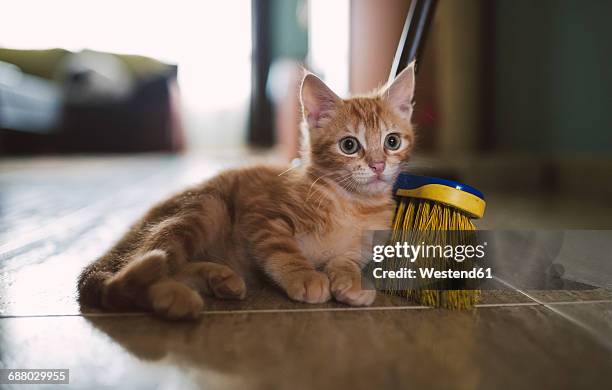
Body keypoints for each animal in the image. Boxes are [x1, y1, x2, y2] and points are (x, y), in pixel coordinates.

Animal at [77, 63, 416, 320]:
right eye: (349, 145)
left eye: (392, 141)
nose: (377, 165)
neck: (353, 204)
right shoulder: (261, 214)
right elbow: (282, 248)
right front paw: (303, 275)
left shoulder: (359, 247)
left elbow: (345, 262)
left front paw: (350, 281)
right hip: (206, 207)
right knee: (131, 275)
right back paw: (174, 298)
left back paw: (219, 280)